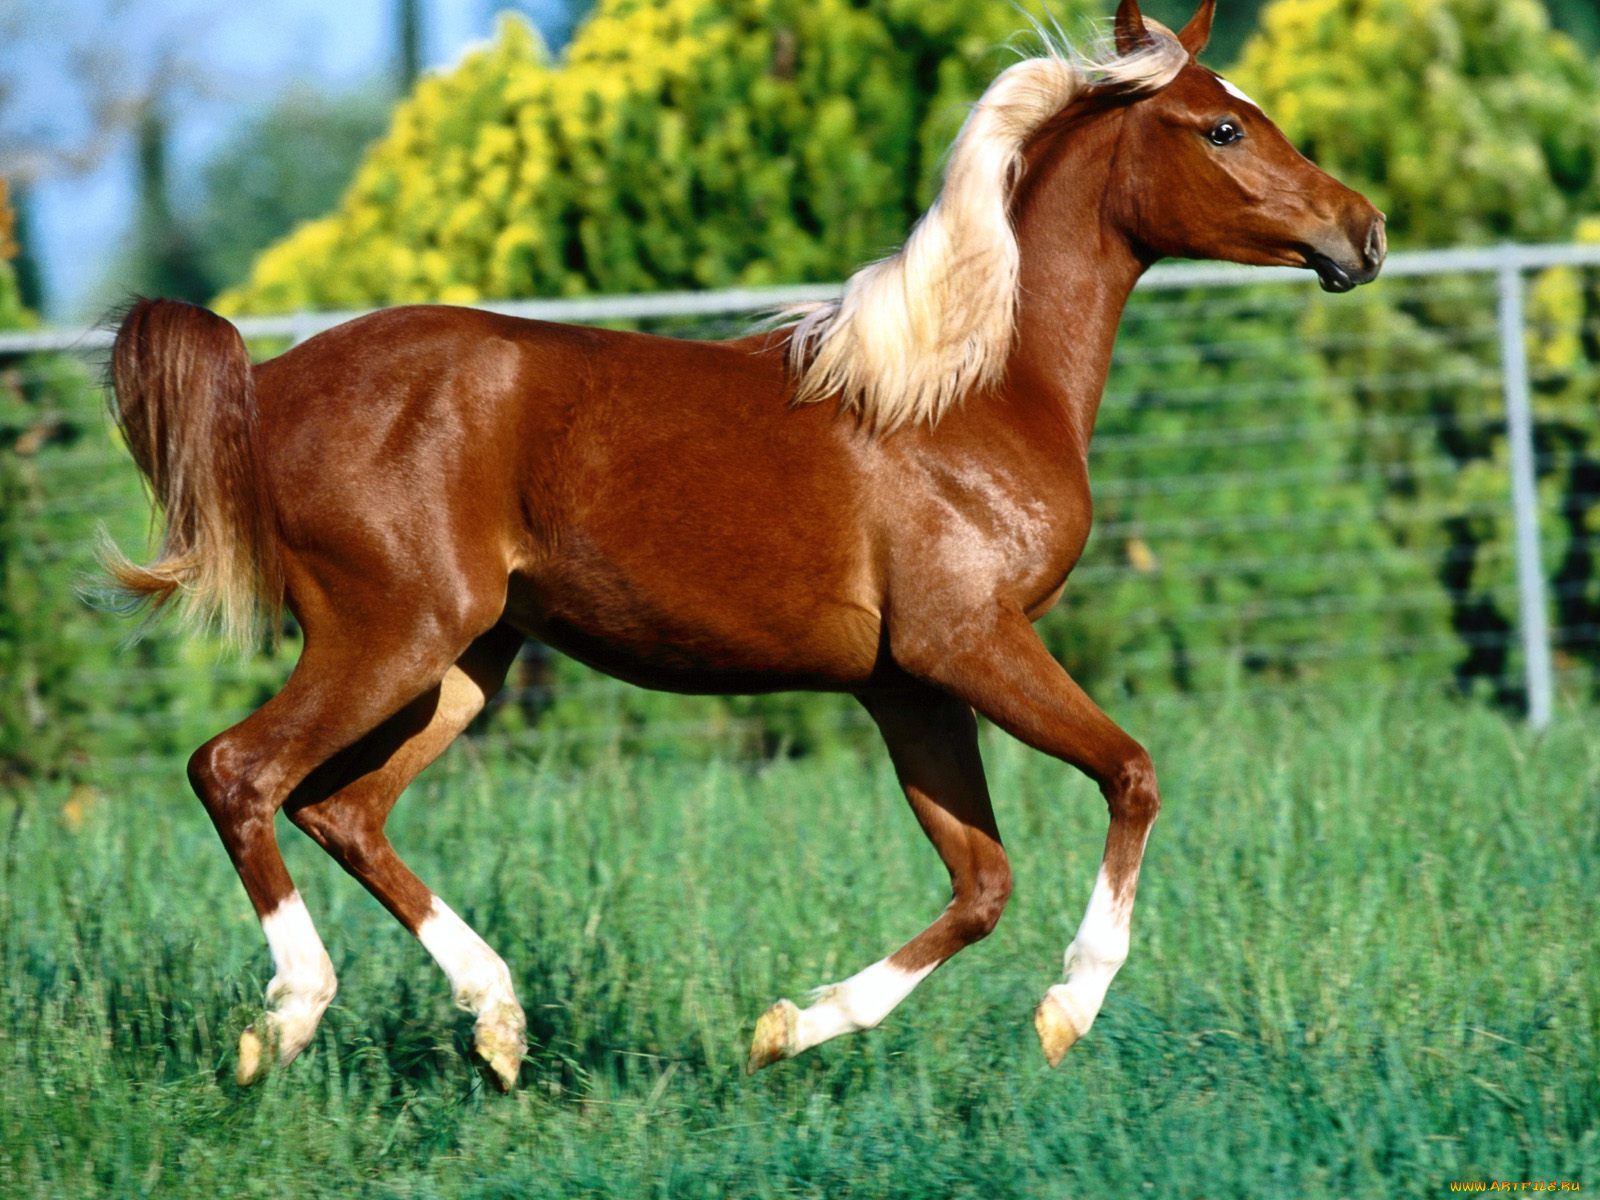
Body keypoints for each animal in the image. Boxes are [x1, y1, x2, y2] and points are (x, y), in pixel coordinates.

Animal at [105, 0, 1385, 1090]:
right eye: (1222, 125)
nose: (1362, 232)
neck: (968, 391)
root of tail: (266, 383)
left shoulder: (908, 686)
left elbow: (981, 883)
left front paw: (788, 1028)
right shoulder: (968, 643)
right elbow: (1130, 775)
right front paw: (1066, 1010)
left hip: (466, 663)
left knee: (343, 810)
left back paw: (500, 1022)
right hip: (393, 634)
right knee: (239, 771)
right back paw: (289, 1019)